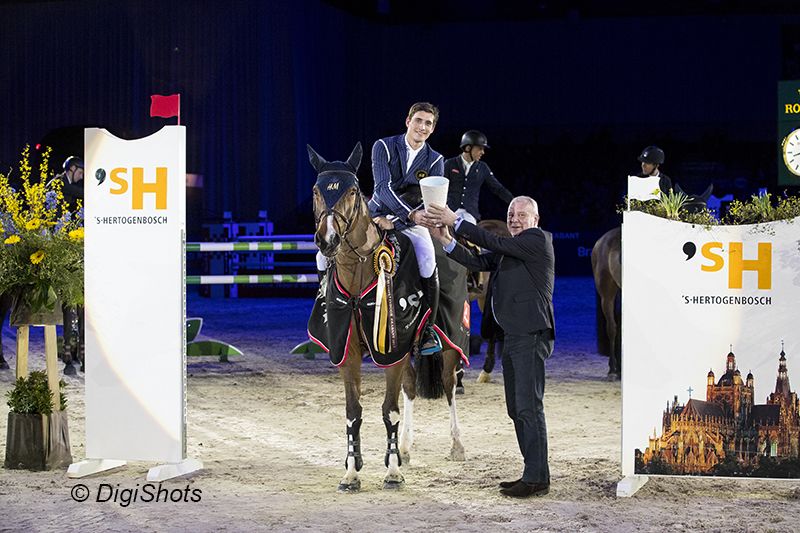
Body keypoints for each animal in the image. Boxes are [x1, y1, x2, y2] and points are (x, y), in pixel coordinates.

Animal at [307, 143, 465, 492]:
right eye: (316, 190)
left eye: (352, 191)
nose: (327, 240)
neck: (359, 274)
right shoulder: (349, 351)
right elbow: (353, 412)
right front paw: (351, 472)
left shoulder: (393, 349)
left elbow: (389, 411)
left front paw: (392, 473)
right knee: (410, 387)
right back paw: (404, 449)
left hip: (448, 340)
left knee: (449, 386)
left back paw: (456, 446)